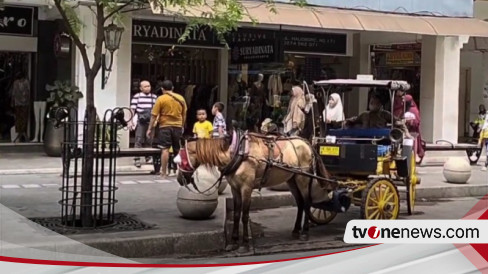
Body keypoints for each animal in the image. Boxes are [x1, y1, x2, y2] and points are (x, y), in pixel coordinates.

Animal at [176, 131, 340, 253]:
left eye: (181, 159)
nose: (179, 179)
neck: (237, 152)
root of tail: (307, 143)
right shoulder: (235, 189)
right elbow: (236, 215)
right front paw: (233, 242)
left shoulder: (246, 188)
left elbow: (244, 216)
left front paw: (244, 244)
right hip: (292, 179)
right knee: (299, 203)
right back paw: (295, 230)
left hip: (303, 178)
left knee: (306, 203)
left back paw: (305, 232)